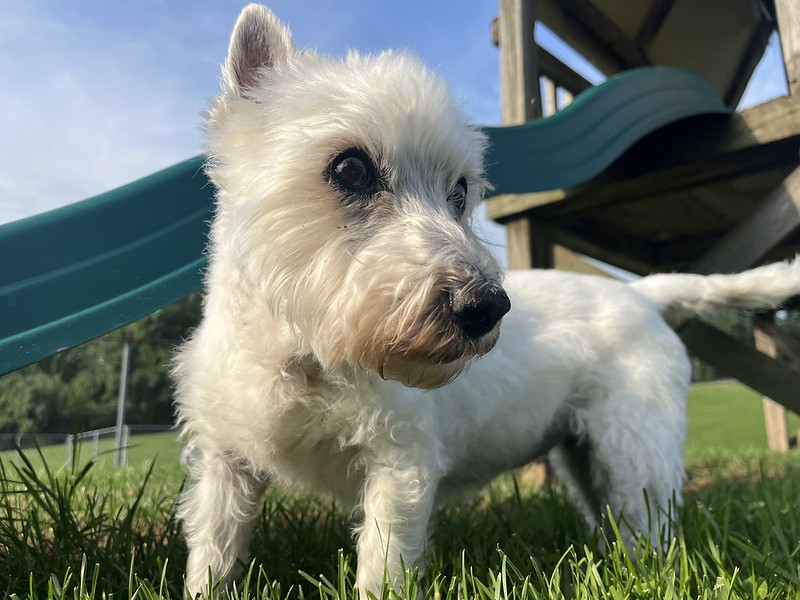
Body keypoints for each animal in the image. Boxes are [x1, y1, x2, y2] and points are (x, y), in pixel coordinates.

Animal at [175, 3, 800, 596]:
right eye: (350, 168)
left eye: (460, 191)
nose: (487, 307)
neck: (305, 357)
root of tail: (642, 294)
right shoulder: (223, 464)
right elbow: (212, 554)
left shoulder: (401, 465)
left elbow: (383, 565)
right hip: (580, 454)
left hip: (633, 447)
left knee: (651, 528)